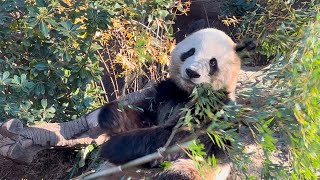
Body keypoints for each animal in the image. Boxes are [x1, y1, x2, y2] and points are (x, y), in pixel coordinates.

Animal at [97, 27, 255, 179]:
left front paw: (112, 147)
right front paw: (113, 119)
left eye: (213, 62)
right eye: (190, 51)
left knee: (179, 174)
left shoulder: (213, 111)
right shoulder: (167, 92)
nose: (192, 72)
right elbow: (144, 117)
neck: (188, 94)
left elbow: (177, 138)